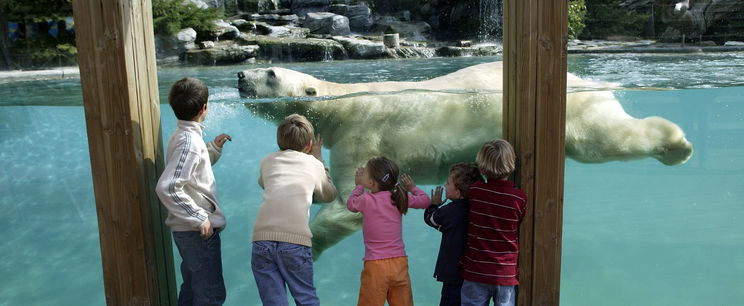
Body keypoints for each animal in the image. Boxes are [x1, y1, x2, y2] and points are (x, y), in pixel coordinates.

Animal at [237, 61, 692, 258]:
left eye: (272, 74)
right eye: (265, 65)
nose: (241, 76)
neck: (341, 104)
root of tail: (584, 80)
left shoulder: (362, 133)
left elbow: (352, 202)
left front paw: (308, 245)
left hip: (577, 113)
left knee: (606, 139)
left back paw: (677, 144)